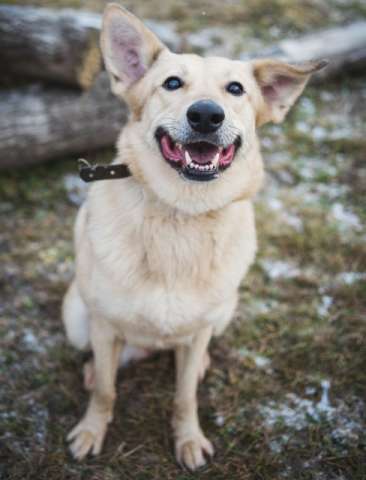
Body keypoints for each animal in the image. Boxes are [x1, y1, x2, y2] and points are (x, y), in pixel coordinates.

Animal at [62, 2, 326, 468]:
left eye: (236, 89)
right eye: (171, 83)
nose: (205, 114)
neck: (180, 215)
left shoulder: (200, 330)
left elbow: (184, 396)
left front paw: (188, 439)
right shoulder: (104, 326)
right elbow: (107, 391)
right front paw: (92, 430)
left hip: (223, 314)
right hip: (75, 316)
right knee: (100, 359)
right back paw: (94, 370)